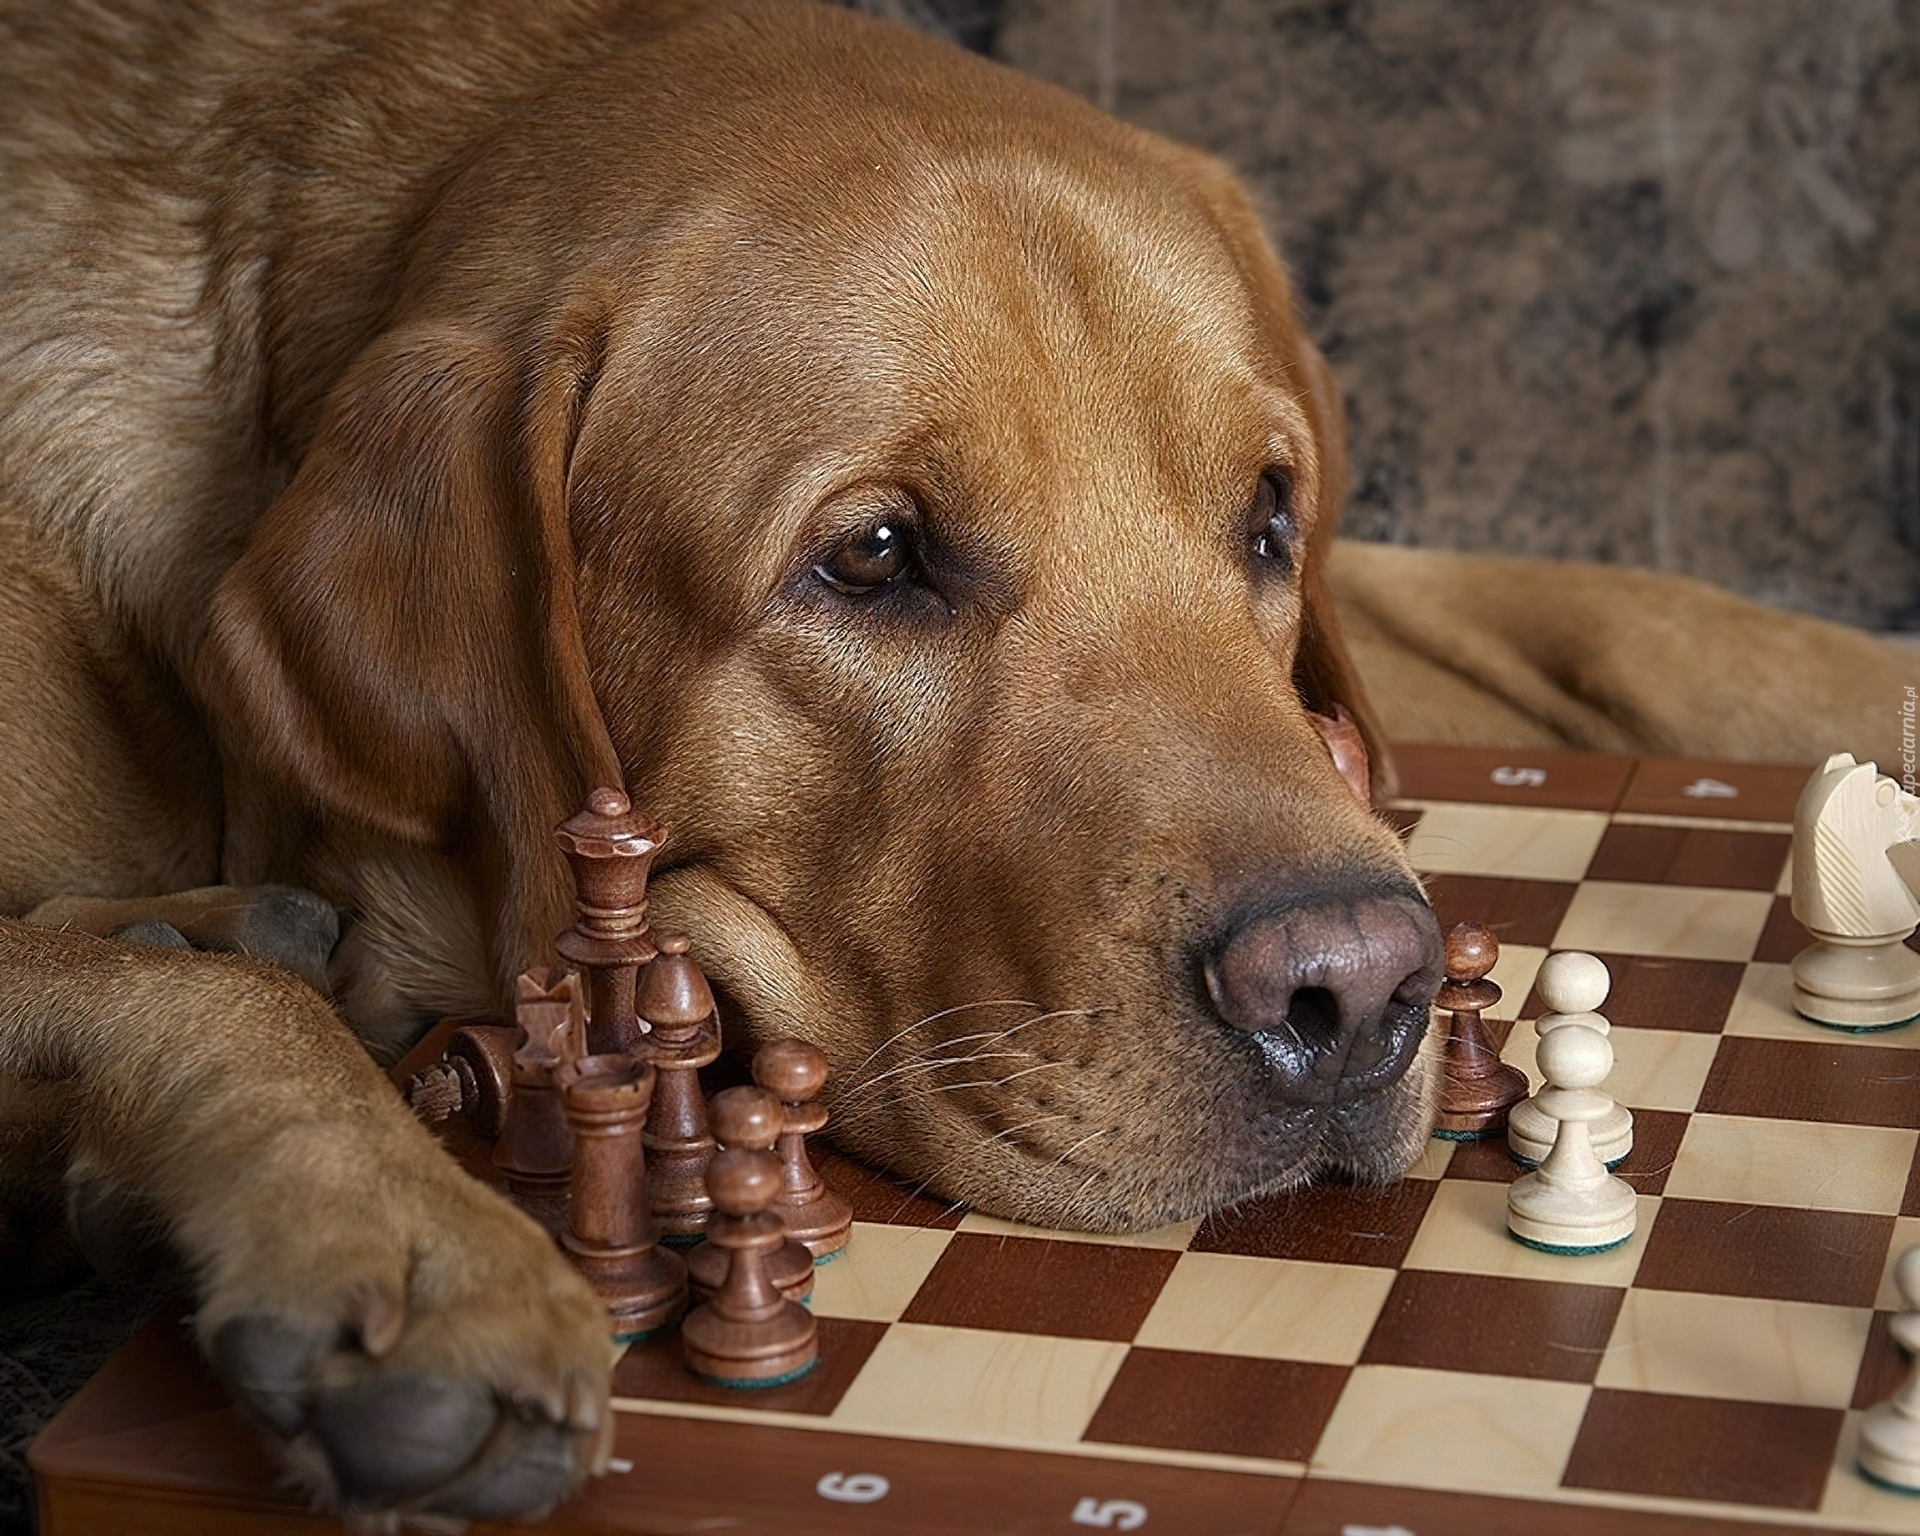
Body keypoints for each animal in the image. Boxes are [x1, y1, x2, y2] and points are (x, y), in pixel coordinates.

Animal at [0, 0, 1912, 1520]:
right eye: (871, 555)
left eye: (1268, 514)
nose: (1364, 992)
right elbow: (196, 998)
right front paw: (408, 1241)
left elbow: (1649, 613)